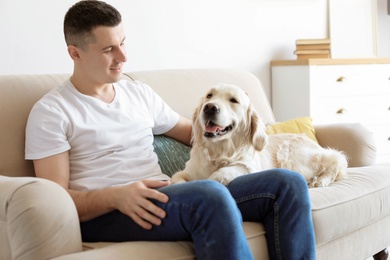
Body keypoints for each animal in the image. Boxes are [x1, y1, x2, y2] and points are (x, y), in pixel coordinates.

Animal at [172, 84, 348, 188]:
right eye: (209, 95)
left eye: (233, 100)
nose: (209, 107)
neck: (219, 153)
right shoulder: (187, 172)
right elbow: (177, 179)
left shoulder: (250, 167)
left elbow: (229, 170)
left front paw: (216, 177)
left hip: (292, 157)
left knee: (335, 161)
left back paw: (321, 180)